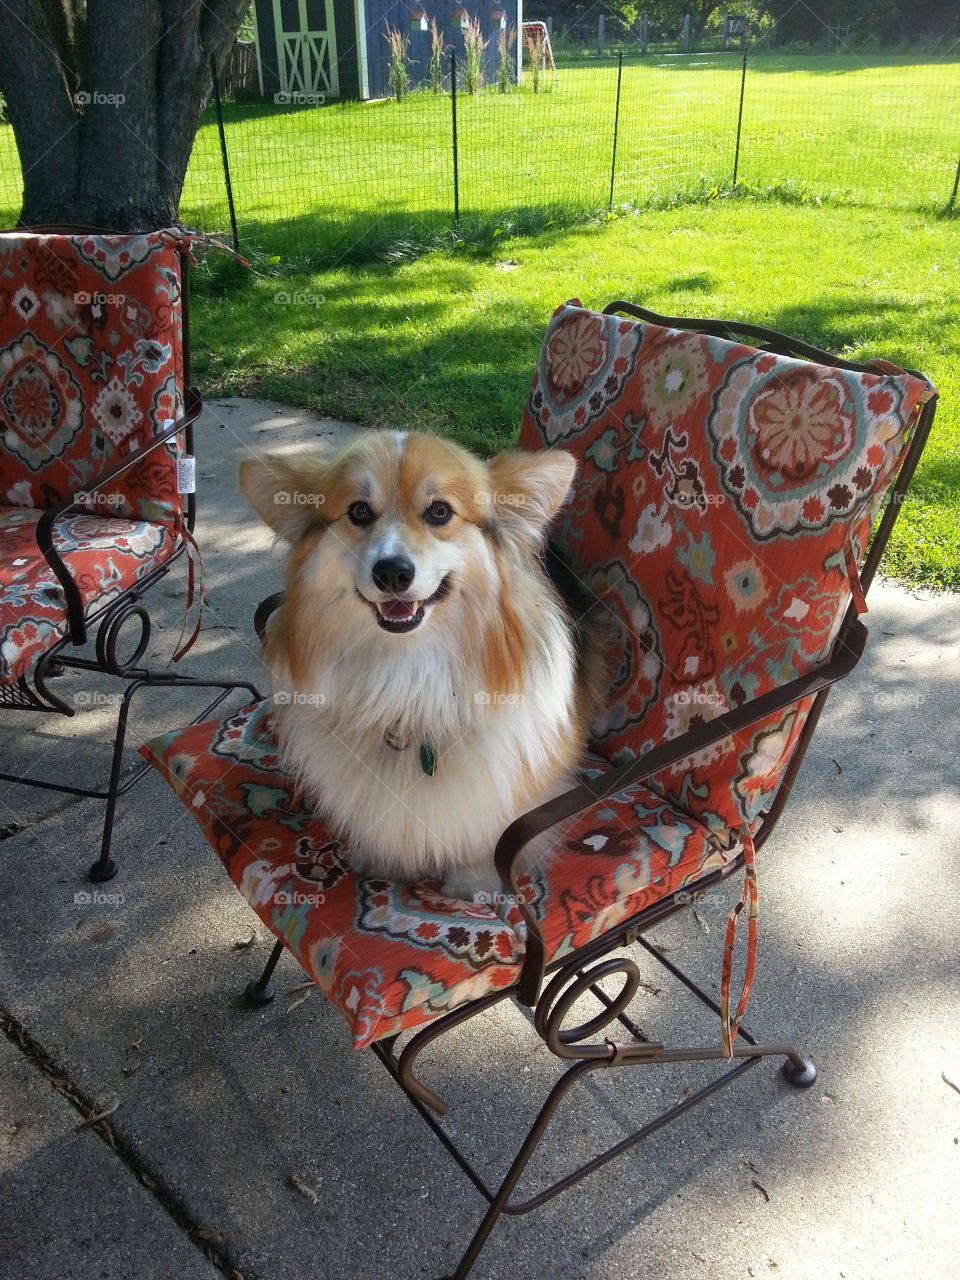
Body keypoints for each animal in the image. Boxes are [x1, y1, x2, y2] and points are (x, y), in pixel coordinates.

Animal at [239, 430, 609, 901]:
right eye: (359, 511)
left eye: (440, 511)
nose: (392, 573)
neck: (407, 670)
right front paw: (380, 859)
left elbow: (483, 826)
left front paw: (472, 882)